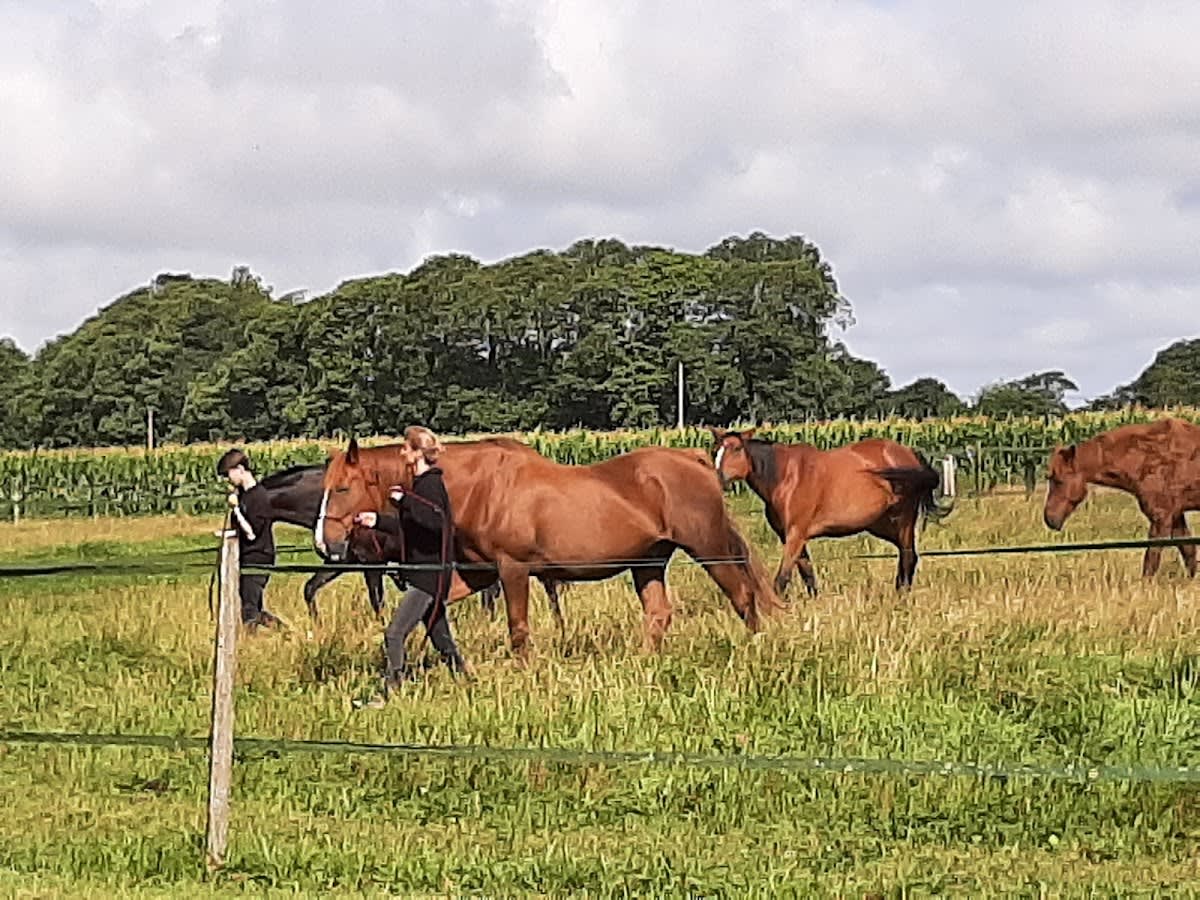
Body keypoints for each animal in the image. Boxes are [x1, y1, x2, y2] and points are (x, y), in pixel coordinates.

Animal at [316, 437, 782, 653]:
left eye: (342, 488)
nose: (325, 542)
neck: (479, 487)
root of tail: (694, 459)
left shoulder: (513, 569)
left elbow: (518, 629)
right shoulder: (477, 573)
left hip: (708, 548)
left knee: (742, 596)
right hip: (647, 562)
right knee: (658, 615)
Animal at [709, 428, 950, 595]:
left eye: (737, 449)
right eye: (715, 451)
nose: (717, 480)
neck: (786, 477)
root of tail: (910, 454)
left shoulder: (795, 534)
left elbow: (782, 578)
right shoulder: (792, 537)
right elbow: (807, 573)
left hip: (903, 521)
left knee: (908, 557)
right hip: (882, 524)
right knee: (907, 556)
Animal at [1043, 417, 1200, 578]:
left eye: (1059, 481)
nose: (1050, 519)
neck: (1147, 457)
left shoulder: (1161, 517)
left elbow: (1151, 560)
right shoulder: (1175, 515)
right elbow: (1188, 550)